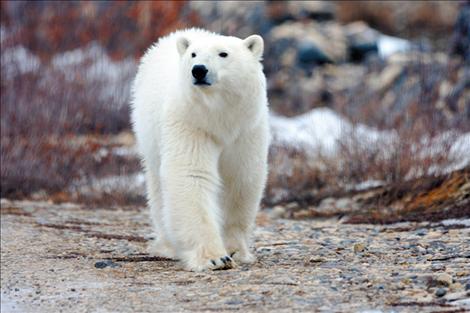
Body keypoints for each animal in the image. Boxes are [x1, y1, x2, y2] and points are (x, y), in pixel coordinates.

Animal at [130, 28, 270, 270]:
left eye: (223, 53)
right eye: (193, 54)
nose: (198, 70)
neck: (219, 115)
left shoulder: (247, 129)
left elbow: (240, 177)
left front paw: (234, 249)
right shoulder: (191, 123)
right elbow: (191, 174)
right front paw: (214, 257)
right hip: (150, 136)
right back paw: (168, 245)